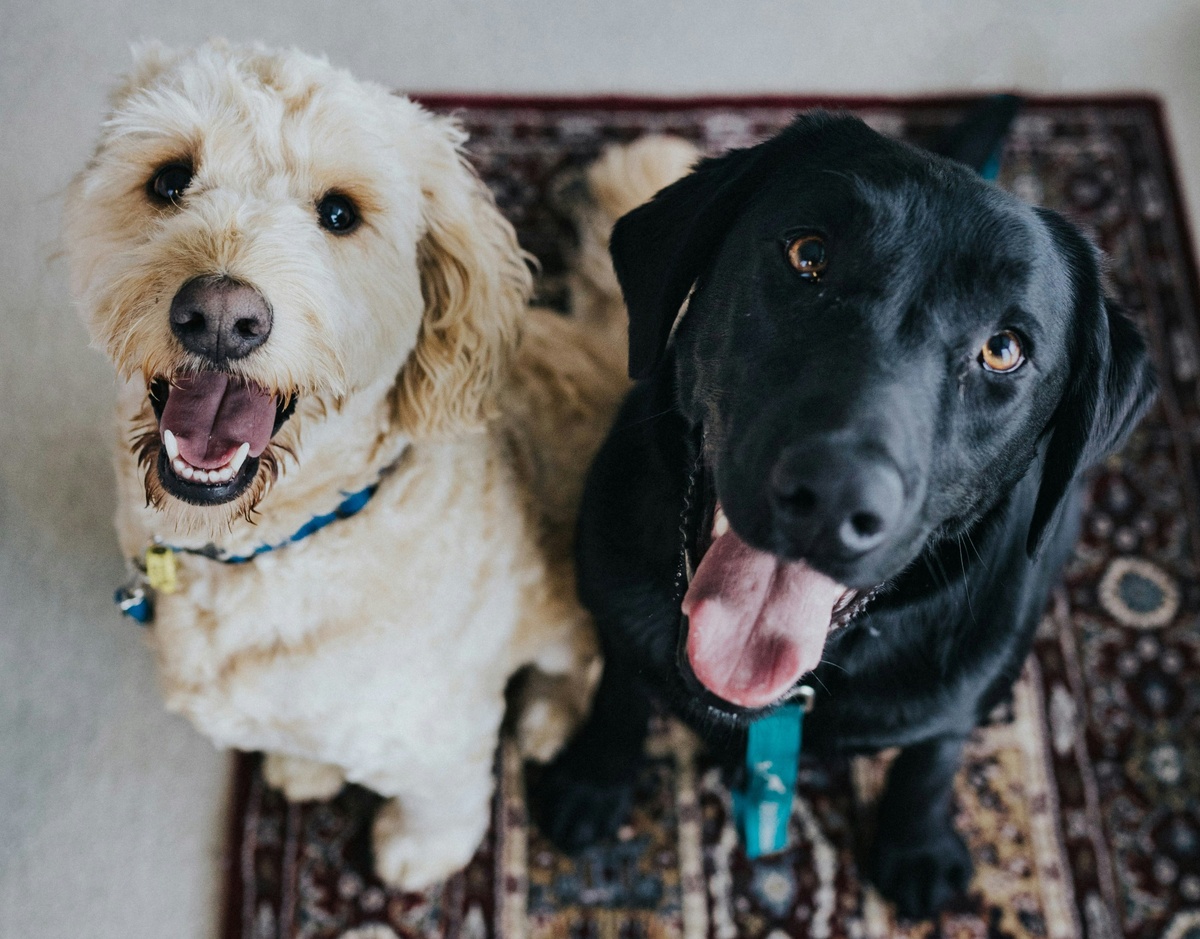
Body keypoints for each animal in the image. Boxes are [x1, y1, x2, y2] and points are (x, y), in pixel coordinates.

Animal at [65, 38, 700, 888]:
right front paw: (305, 767)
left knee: (581, 663)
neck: (278, 543)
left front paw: (417, 852)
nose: (221, 316)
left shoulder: (438, 726)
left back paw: (546, 716)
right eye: (169, 178)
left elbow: (442, 798)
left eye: (340, 213)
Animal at [532, 114, 1152, 922]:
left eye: (1004, 349)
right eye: (808, 255)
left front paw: (917, 844)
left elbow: (932, 757)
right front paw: (593, 777)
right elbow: (620, 689)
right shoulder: (615, 600)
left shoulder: (957, 687)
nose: (832, 496)